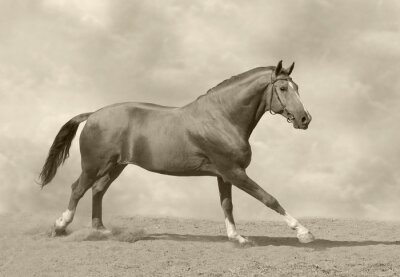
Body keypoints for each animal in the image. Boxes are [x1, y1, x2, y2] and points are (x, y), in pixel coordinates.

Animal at [39, 61, 314, 244]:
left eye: (298, 87)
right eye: (283, 89)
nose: (304, 119)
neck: (222, 118)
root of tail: (93, 114)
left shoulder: (224, 174)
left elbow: (227, 205)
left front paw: (237, 237)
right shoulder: (234, 172)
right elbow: (269, 199)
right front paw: (303, 232)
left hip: (116, 166)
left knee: (98, 190)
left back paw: (101, 230)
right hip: (94, 165)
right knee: (78, 189)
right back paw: (59, 227)